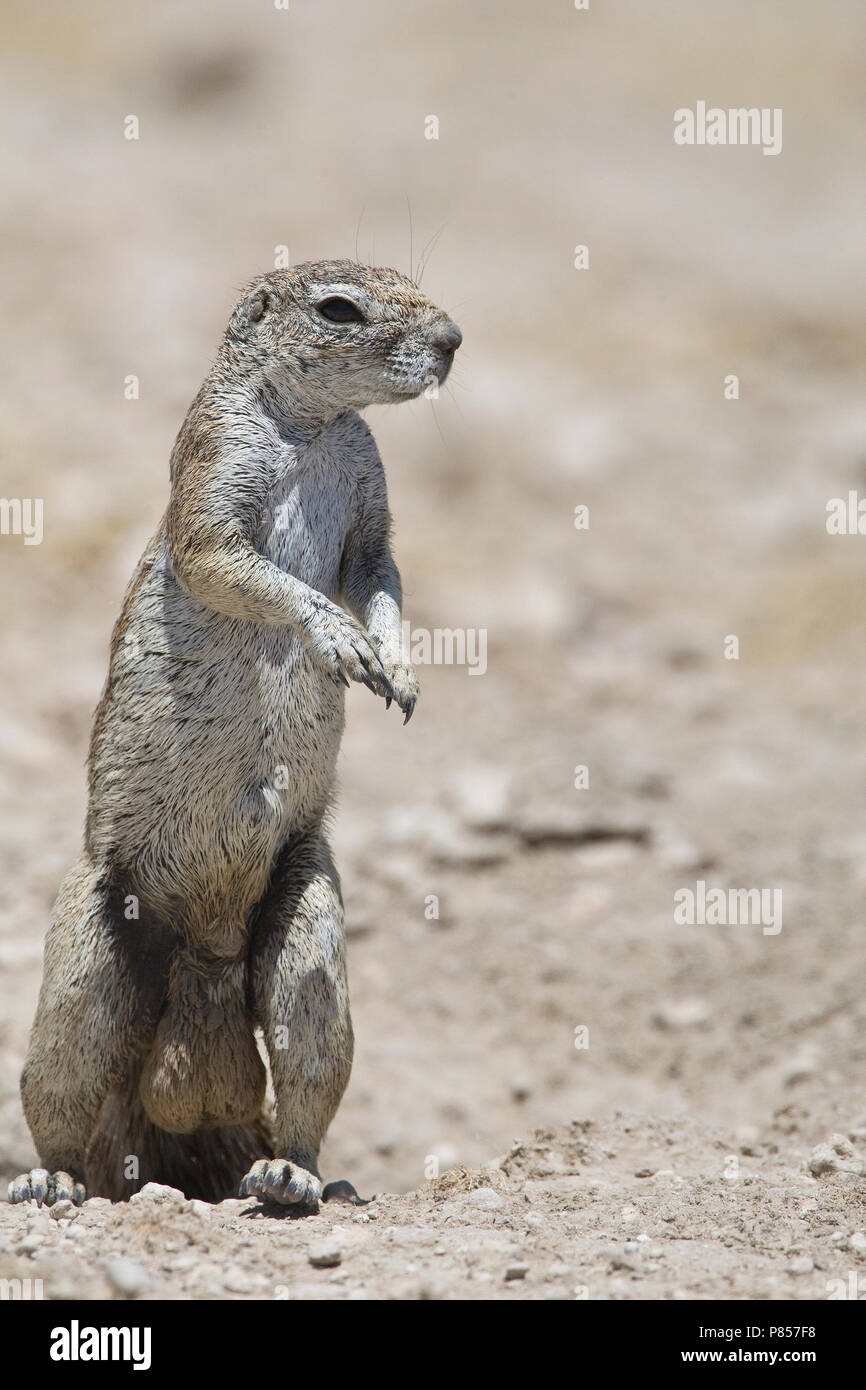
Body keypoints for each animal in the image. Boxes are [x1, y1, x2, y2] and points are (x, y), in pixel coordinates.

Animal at [10, 258, 464, 1206]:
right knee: (63, 1089)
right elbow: (231, 564)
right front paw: (337, 638)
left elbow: (383, 574)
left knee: (307, 1063)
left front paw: (399, 670)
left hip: (307, 921)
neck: (315, 430)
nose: (453, 340)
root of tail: (204, 971)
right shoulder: (212, 470)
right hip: (85, 963)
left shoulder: (373, 508)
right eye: (340, 309)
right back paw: (51, 1181)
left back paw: (292, 1174)